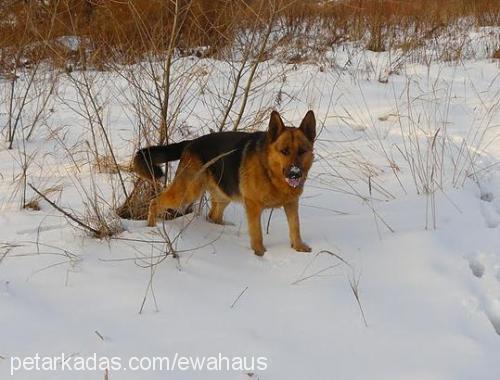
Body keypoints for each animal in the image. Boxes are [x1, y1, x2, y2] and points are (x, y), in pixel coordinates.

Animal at [131, 111, 314, 256]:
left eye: (302, 151)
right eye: (284, 151)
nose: (295, 173)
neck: (269, 169)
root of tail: (190, 142)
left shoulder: (292, 204)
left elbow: (295, 226)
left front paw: (298, 246)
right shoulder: (253, 206)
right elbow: (257, 233)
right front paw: (260, 253)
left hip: (224, 195)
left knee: (213, 216)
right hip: (188, 192)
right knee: (155, 202)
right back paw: (151, 227)